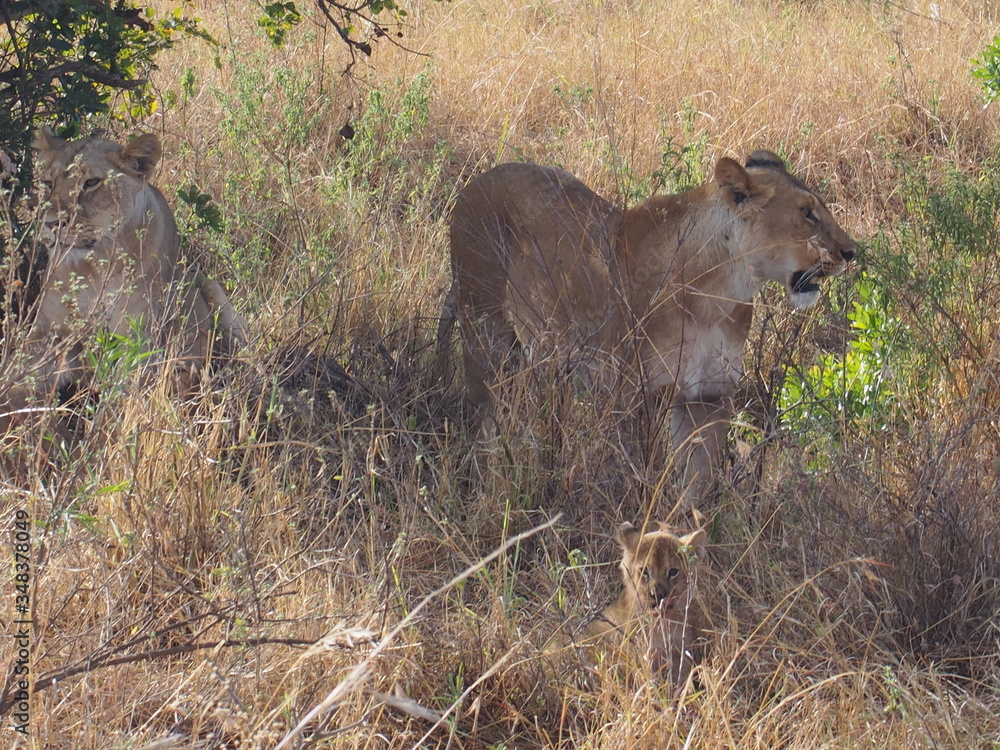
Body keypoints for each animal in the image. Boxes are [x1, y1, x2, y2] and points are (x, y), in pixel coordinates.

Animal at [1, 127, 246, 427]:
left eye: (91, 183)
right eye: (48, 183)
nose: (51, 223)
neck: (92, 268)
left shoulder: (140, 341)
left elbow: (123, 398)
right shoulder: (47, 332)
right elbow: (17, 375)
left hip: (210, 290)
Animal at [439, 152, 855, 501]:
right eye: (807, 213)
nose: (851, 252)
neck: (718, 296)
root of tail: (477, 181)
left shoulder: (711, 398)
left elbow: (696, 489)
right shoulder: (637, 397)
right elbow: (643, 478)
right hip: (485, 331)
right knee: (484, 418)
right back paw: (483, 487)